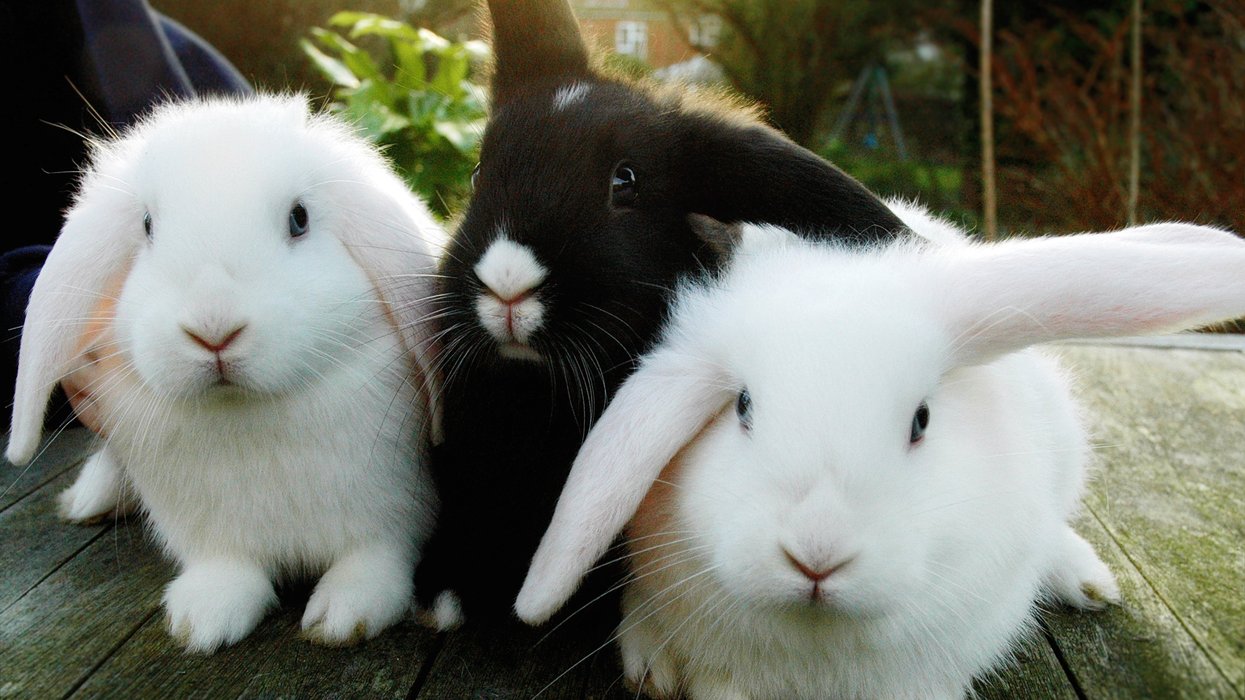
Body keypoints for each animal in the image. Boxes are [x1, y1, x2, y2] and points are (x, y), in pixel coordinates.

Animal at [6, 93, 446, 653]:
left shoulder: (391, 513)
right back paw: (88, 500)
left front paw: (344, 616)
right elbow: (227, 569)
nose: (212, 329)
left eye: (299, 218)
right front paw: (201, 621)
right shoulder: (210, 532)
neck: (246, 414)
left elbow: (374, 557)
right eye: (146, 225)